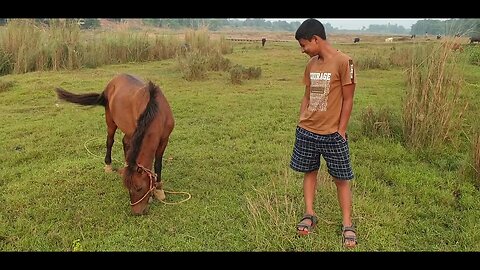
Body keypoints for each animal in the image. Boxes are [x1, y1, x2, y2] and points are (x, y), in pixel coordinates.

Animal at [55, 74, 174, 215]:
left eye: (139, 188)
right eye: (128, 189)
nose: (136, 212)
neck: (157, 112)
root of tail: (113, 81)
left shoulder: (164, 140)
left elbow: (158, 164)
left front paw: (159, 190)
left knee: (125, 142)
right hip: (111, 121)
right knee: (110, 141)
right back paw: (108, 165)